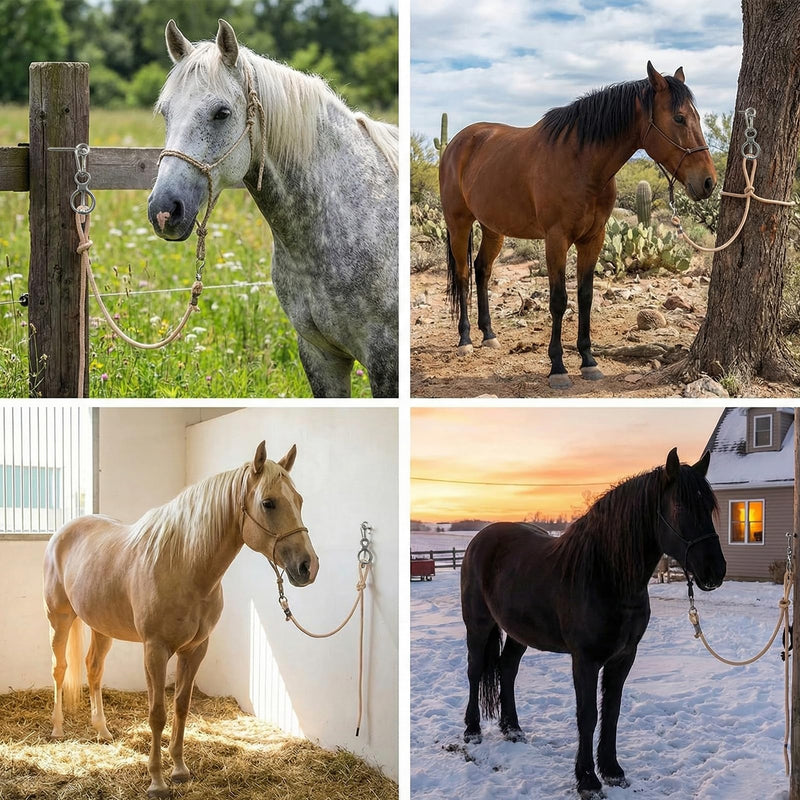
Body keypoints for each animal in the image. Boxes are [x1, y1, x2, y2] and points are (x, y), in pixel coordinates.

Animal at [43, 441, 318, 799]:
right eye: (268, 503)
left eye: (299, 500)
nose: (307, 566)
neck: (185, 565)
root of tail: (63, 532)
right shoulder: (155, 650)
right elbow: (157, 714)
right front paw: (157, 781)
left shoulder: (195, 649)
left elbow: (181, 707)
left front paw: (179, 769)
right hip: (59, 618)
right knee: (59, 669)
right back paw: (58, 729)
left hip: (101, 626)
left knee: (93, 669)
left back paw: (102, 730)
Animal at [439, 63, 717, 389]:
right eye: (679, 118)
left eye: (696, 117)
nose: (708, 182)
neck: (581, 161)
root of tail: (457, 142)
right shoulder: (556, 239)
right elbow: (559, 300)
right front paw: (558, 367)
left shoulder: (593, 238)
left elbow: (585, 297)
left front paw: (588, 360)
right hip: (459, 224)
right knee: (463, 275)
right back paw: (466, 339)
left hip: (493, 227)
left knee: (482, 270)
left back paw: (489, 335)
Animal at [460, 448, 726, 799]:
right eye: (681, 507)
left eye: (708, 507)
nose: (715, 571)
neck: (604, 574)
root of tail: (480, 540)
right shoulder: (584, 660)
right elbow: (588, 715)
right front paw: (587, 779)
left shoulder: (623, 657)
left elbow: (611, 711)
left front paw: (612, 771)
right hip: (477, 625)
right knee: (475, 669)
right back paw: (472, 730)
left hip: (519, 632)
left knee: (507, 669)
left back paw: (512, 729)